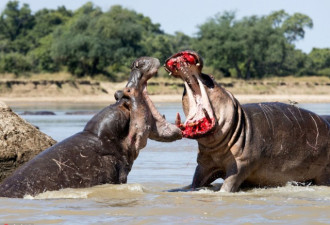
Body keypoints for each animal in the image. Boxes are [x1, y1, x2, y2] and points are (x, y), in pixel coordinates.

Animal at [165, 49, 330, 192]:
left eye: (211, 77)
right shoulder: (204, 164)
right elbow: (195, 182)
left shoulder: (241, 165)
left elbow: (228, 186)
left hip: (323, 175)